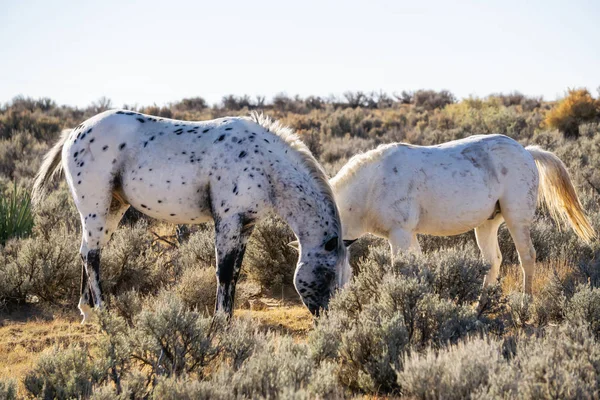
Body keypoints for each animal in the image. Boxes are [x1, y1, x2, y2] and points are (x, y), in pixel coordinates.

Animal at [34, 110, 352, 322]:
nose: (326, 318)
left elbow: (235, 273)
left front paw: (227, 319)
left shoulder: (245, 225)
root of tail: (73, 133)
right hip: (96, 208)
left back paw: (87, 311)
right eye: (327, 273)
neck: (264, 164)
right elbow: (223, 271)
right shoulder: (227, 221)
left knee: (88, 252)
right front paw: (219, 321)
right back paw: (102, 312)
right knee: (91, 256)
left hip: (112, 208)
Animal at [332, 134, 596, 294]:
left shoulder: (399, 234)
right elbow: (419, 269)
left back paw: (524, 303)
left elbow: (403, 271)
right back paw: (480, 308)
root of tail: (527, 151)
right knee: (493, 262)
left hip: (516, 220)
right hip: (487, 225)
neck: (371, 185)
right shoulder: (408, 236)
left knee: (527, 257)